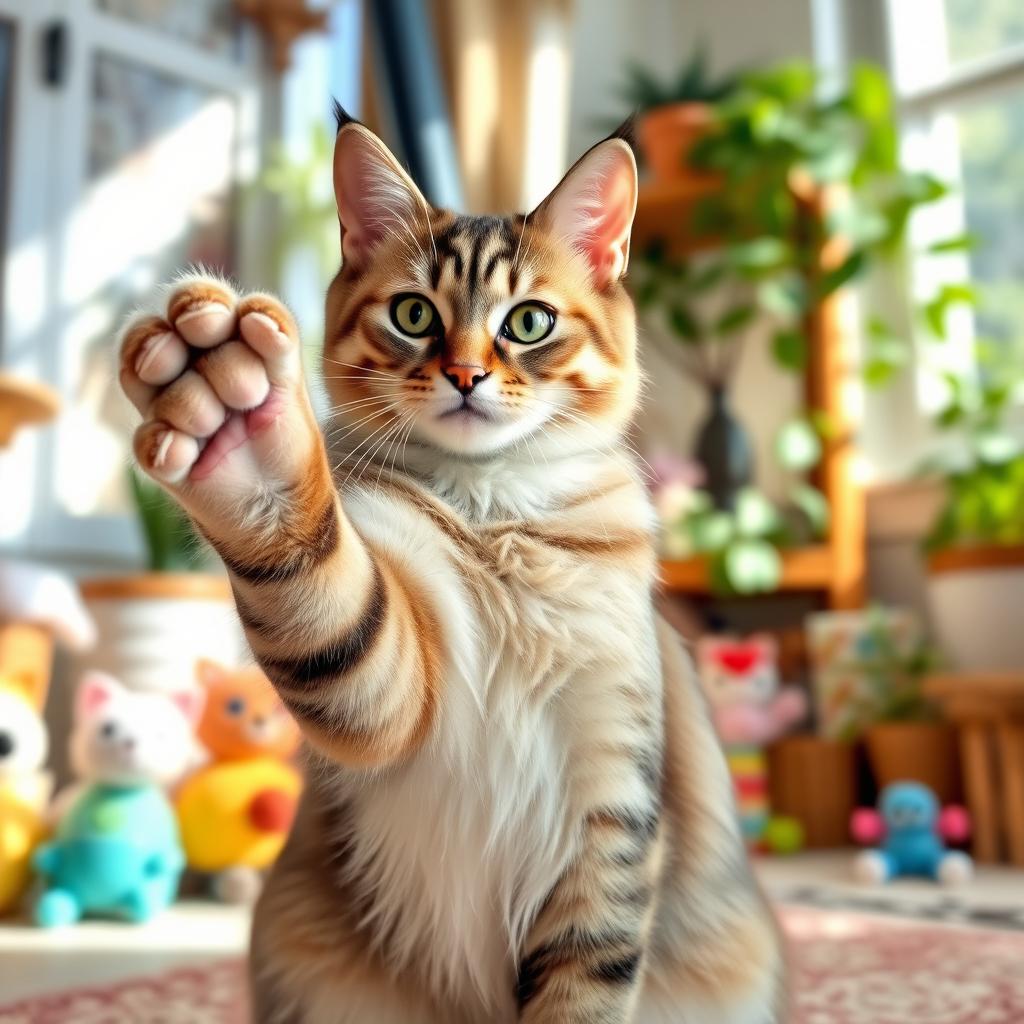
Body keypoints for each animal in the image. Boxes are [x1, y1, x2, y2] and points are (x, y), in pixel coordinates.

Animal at [116, 112, 782, 1024]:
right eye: (412, 313)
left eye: (529, 322)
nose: (465, 375)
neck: (492, 520)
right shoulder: (385, 693)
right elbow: (323, 594)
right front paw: (241, 436)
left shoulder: (609, 811)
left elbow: (583, 995)